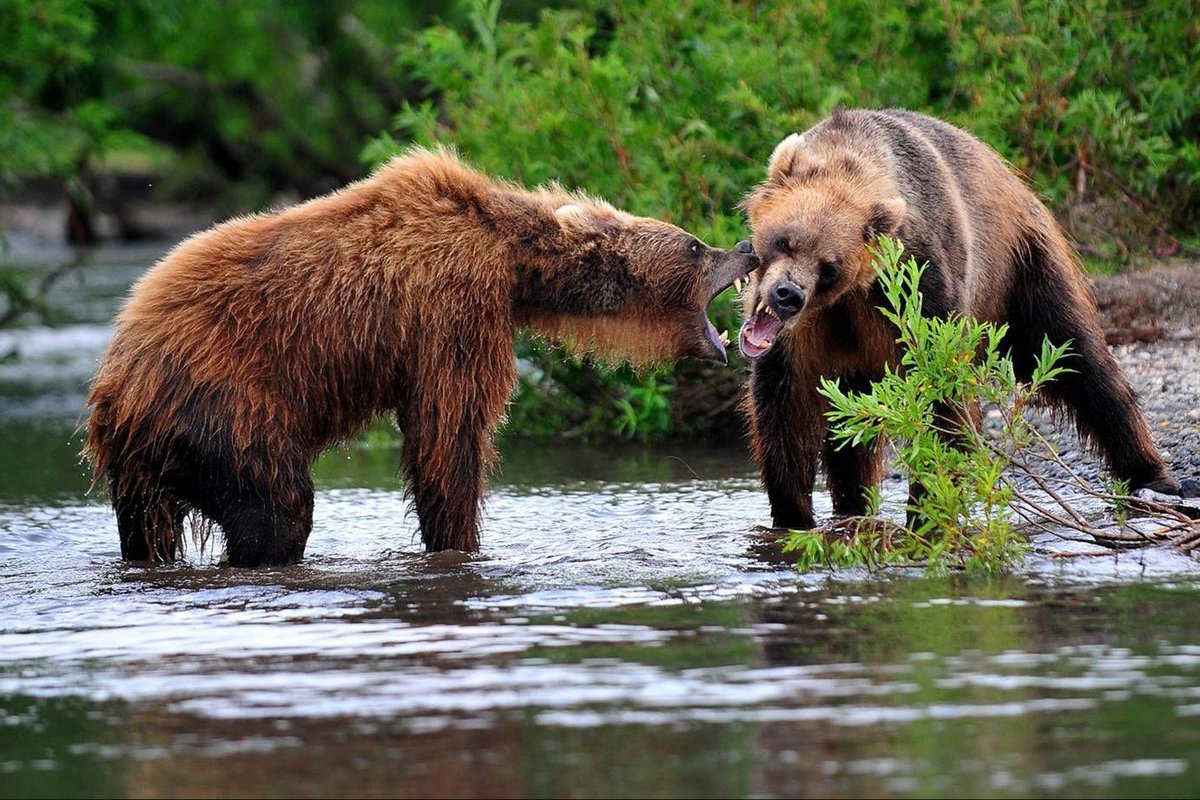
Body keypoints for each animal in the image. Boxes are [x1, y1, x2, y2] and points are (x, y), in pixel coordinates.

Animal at [84, 147, 758, 568]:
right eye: (695, 247)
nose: (747, 246)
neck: (513, 260)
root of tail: (117, 377)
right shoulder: (451, 308)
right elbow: (449, 433)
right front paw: (459, 542)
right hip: (224, 406)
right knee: (276, 507)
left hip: (141, 467)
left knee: (148, 529)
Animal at [737, 108, 1179, 531]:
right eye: (785, 240)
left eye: (829, 268)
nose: (788, 295)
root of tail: (1010, 174)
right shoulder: (809, 335)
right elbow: (785, 403)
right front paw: (792, 514)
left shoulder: (920, 284)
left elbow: (944, 393)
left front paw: (927, 510)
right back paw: (853, 507)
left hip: (1020, 269)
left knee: (1075, 357)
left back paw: (1150, 474)